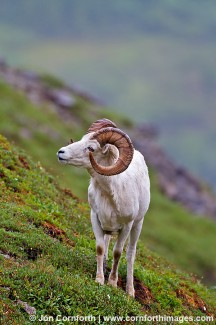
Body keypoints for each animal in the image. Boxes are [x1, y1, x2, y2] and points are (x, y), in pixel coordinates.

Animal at [57, 117, 150, 294]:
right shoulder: (96, 218)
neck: (111, 194)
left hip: (138, 226)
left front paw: (112, 283)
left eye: (91, 148)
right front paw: (99, 280)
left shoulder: (126, 226)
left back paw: (130, 291)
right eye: (81, 139)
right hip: (109, 229)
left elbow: (118, 253)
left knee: (130, 254)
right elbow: (100, 248)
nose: (61, 152)